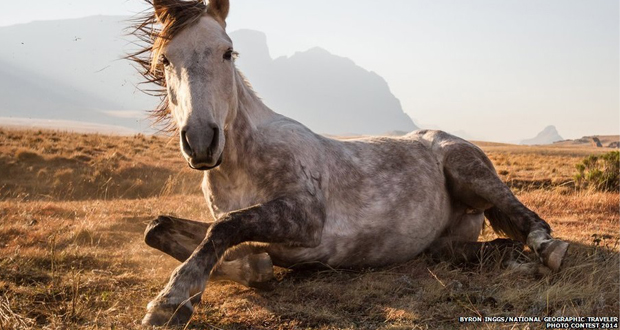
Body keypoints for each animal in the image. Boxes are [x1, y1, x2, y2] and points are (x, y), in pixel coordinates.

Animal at [128, 0, 568, 324]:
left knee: (525, 217)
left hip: (469, 170)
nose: (201, 141)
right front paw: (252, 268)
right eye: (165, 59)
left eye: (227, 52)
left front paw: (171, 299)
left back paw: (546, 250)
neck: (242, 162)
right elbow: (160, 228)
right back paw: (507, 257)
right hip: (442, 242)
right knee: (470, 249)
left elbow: (224, 227)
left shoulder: (306, 217)